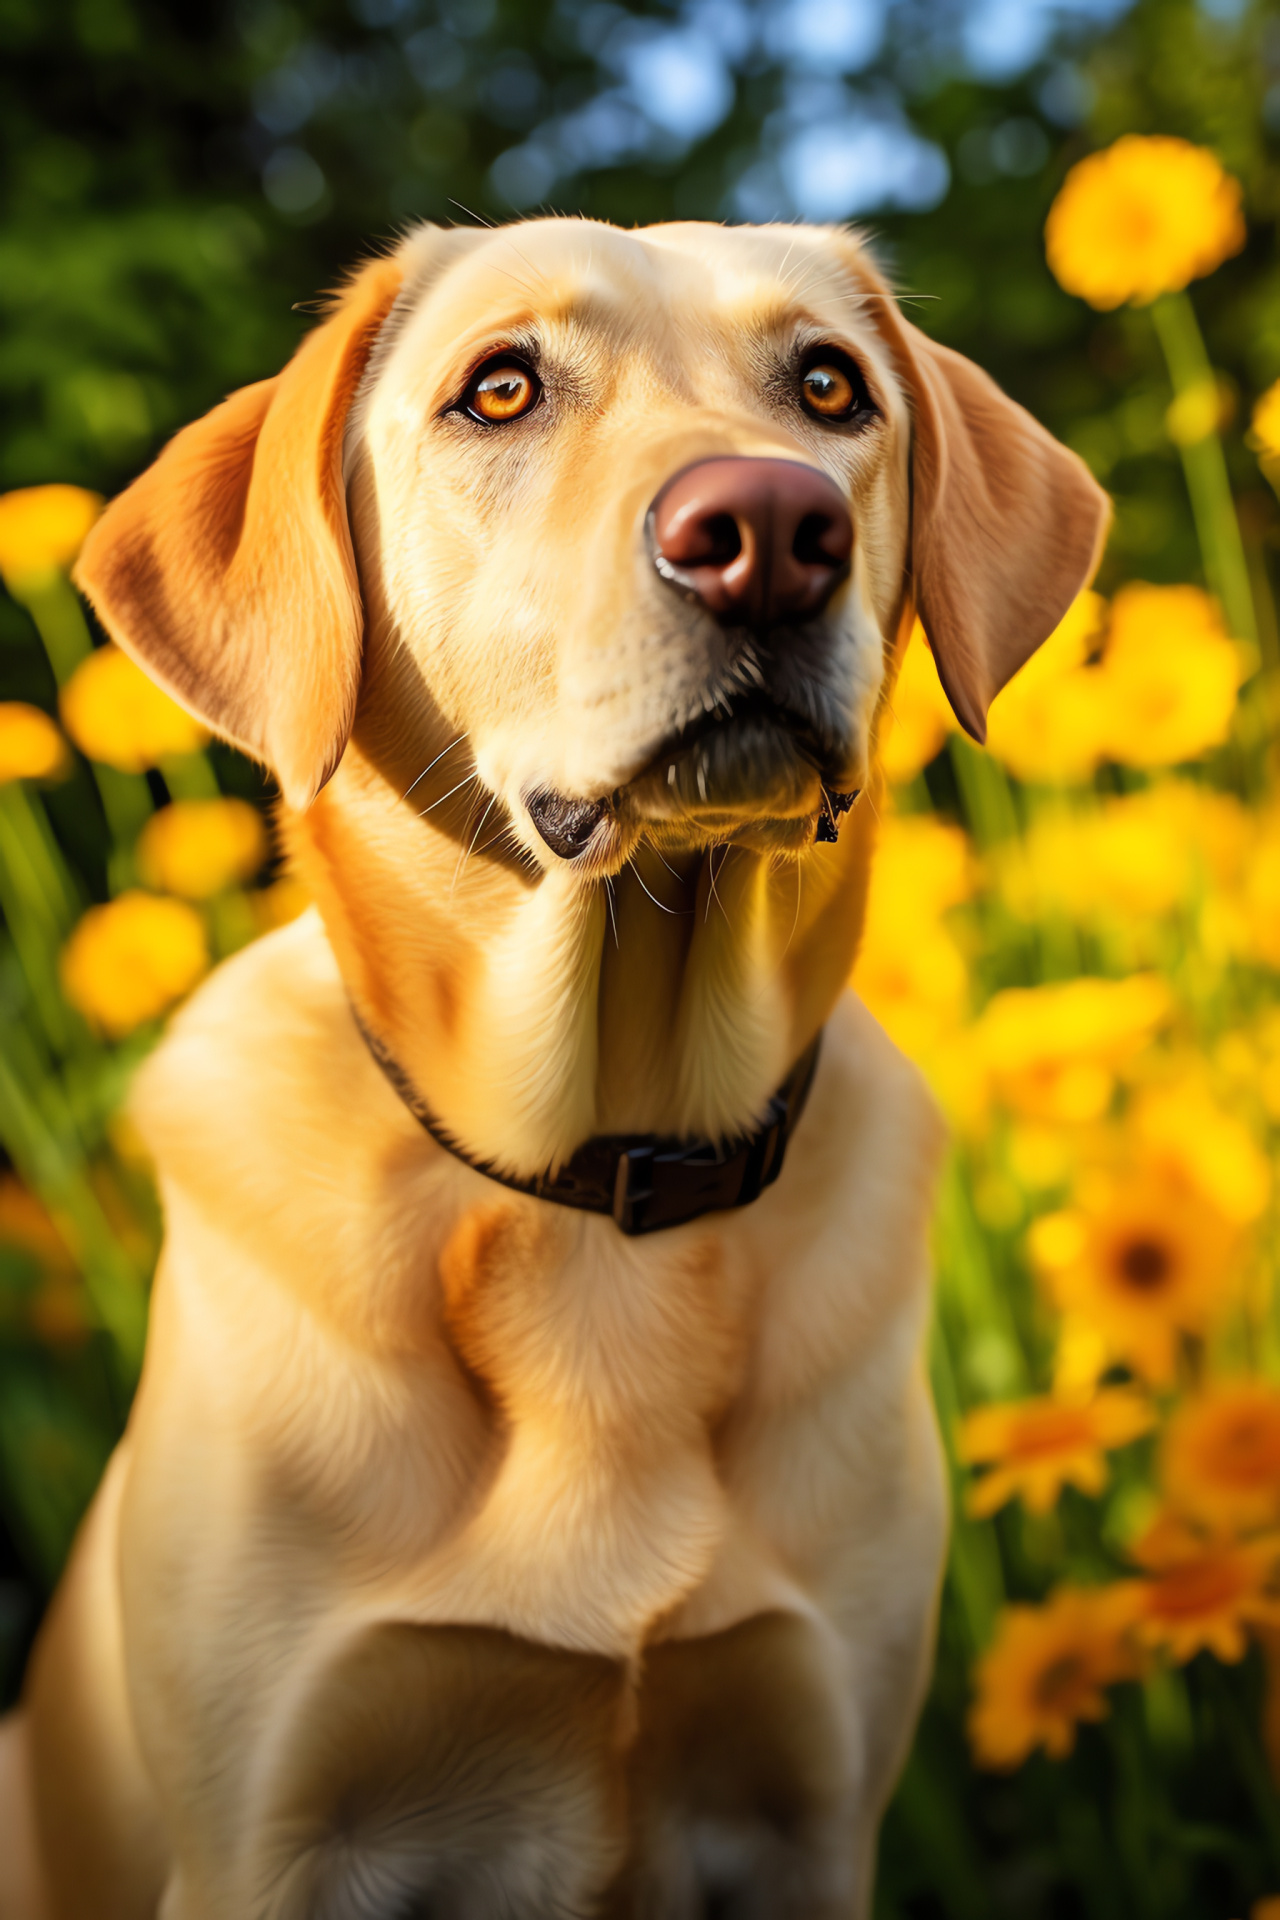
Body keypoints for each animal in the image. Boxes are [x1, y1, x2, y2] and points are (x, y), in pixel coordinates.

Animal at [0, 217, 1105, 1912]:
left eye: (829, 387)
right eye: (501, 388)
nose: (768, 531)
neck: (600, 1184)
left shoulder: (812, 1810)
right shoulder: (268, 1840)